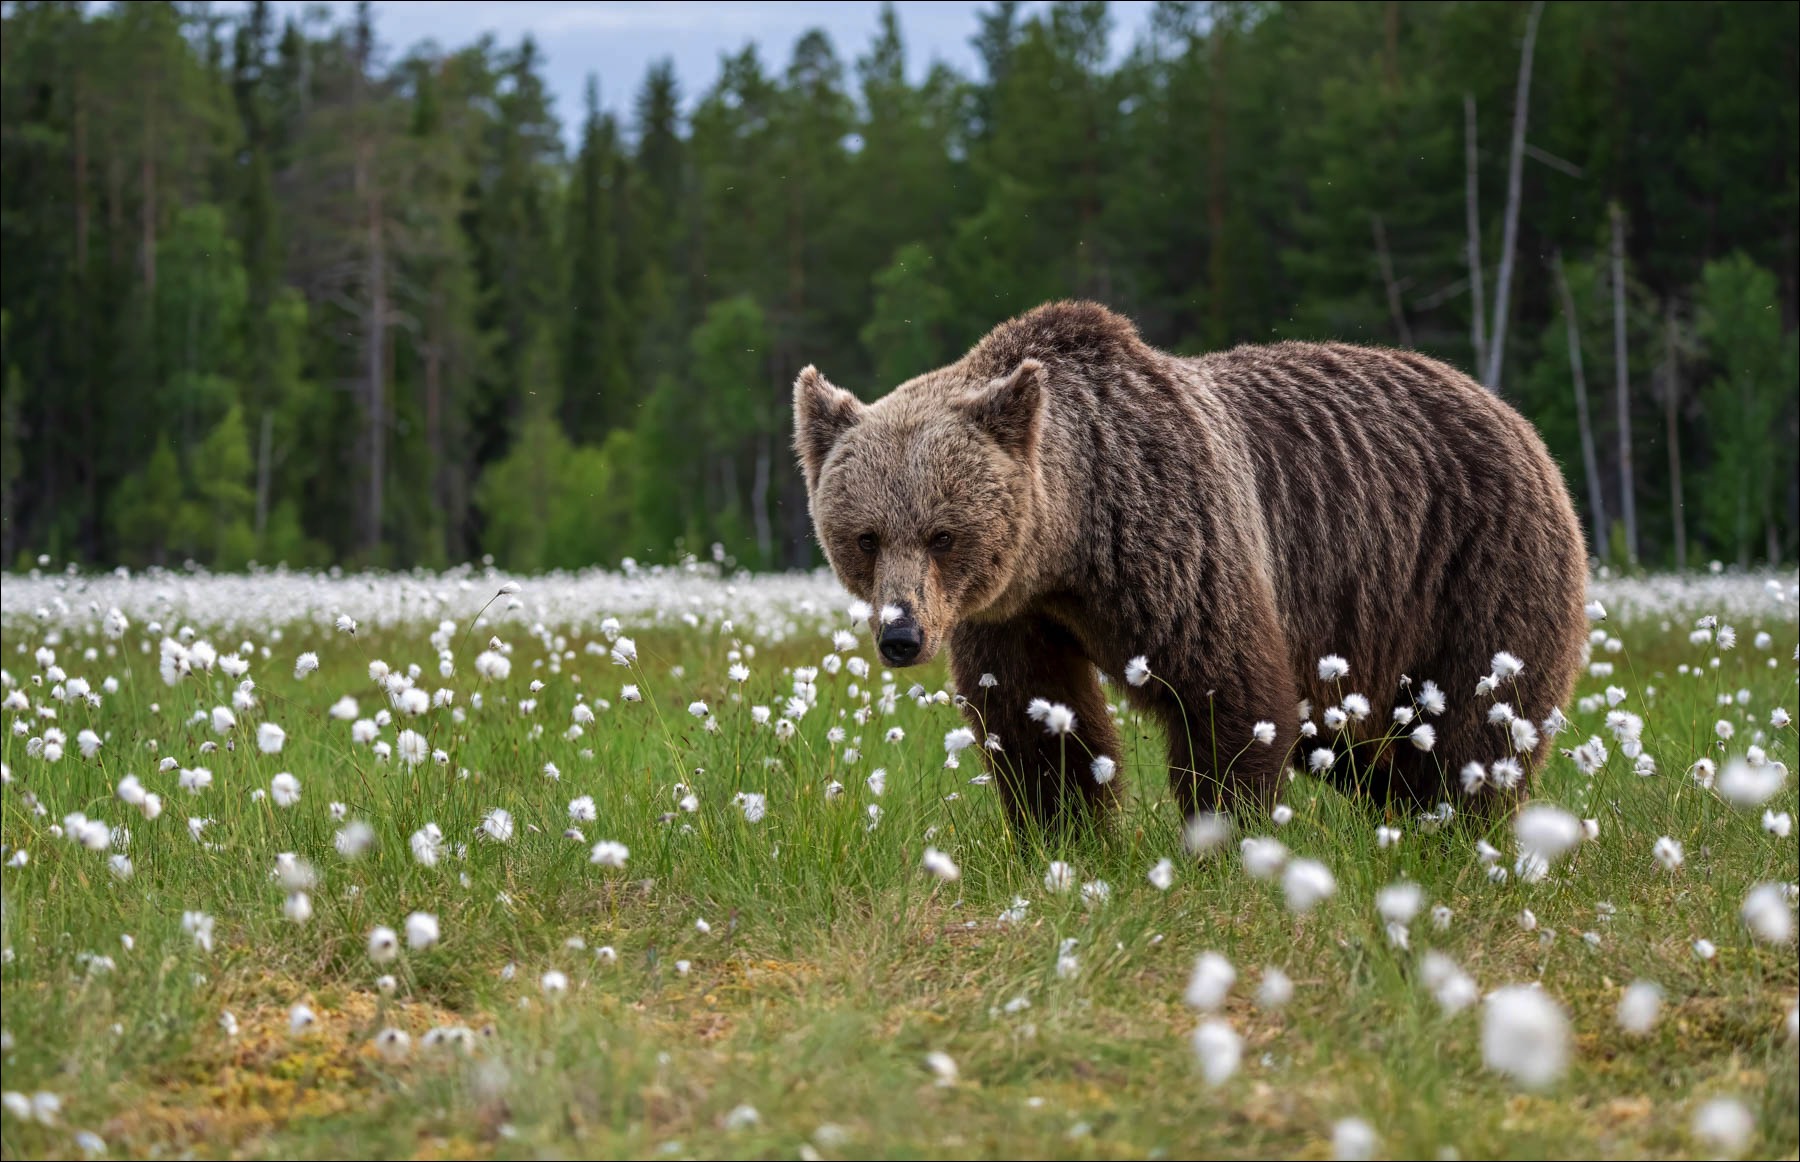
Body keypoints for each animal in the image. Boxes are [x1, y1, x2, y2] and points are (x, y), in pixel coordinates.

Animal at [795, 296, 1584, 834]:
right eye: (866, 537)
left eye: (942, 534)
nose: (901, 635)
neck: (1072, 541)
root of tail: (1511, 414)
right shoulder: (1013, 611)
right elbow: (1032, 721)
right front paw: (1067, 835)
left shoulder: (1176, 539)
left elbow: (1226, 694)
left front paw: (1222, 833)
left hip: (1471, 563)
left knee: (1479, 714)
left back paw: (1455, 821)